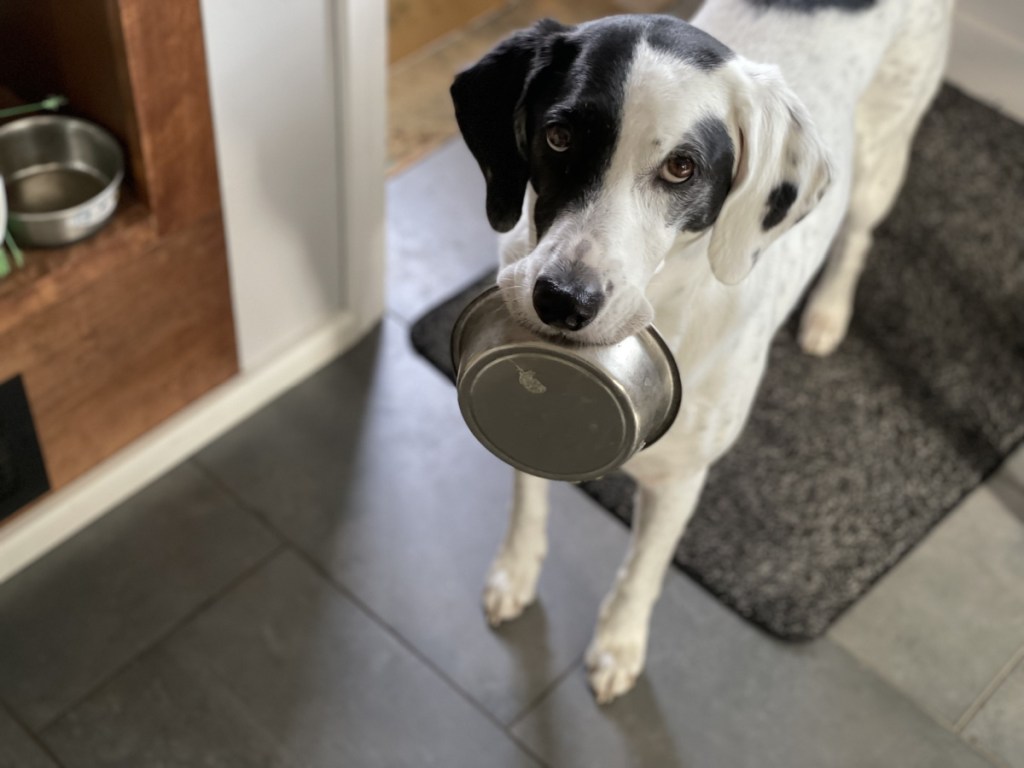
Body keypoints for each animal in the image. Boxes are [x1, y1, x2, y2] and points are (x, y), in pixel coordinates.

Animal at [448, 0, 950, 704]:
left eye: (681, 168)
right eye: (559, 137)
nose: (563, 300)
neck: (667, 300)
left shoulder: (681, 478)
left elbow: (644, 568)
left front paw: (619, 643)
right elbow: (528, 497)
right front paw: (514, 572)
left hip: (883, 156)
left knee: (858, 233)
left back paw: (827, 313)